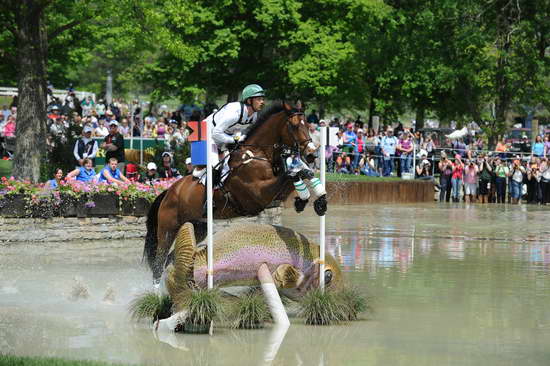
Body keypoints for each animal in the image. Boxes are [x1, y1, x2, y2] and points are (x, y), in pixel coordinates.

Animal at [144, 101, 326, 282]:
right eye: (294, 125)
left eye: (307, 125)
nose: (312, 154)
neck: (258, 155)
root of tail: (168, 192)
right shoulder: (258, 195)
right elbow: (291, 175)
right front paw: (307, 199)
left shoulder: (276, 194)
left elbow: (300, 174)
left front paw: (315, 202)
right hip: (167, 230)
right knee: (158, 264)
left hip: (198, 226)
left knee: (171, 259)